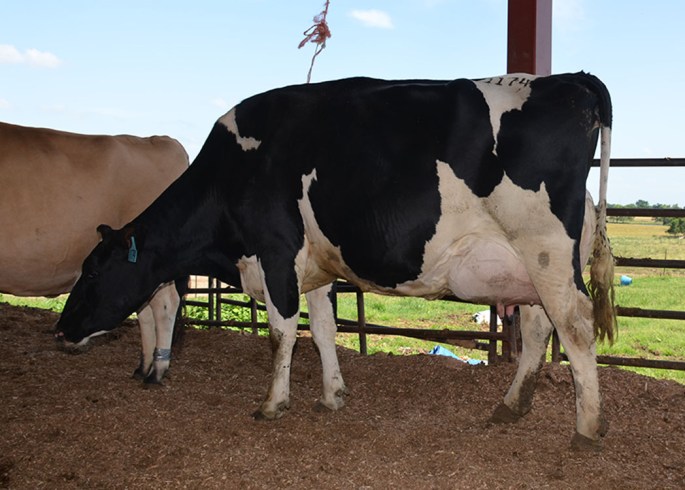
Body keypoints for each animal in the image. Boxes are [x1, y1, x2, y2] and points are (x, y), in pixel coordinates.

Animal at [55, 72, 616, 448]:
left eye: (94, 270)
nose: (60, 330)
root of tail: (571, 80)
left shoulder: (276, 253)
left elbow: (282, 334)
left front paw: (273, 404)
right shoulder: (317, 268)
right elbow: (323, 329)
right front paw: (332, 396)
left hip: (544, 248)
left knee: (575, 325)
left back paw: (587, 428)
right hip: (530, 264)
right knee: (541, 328)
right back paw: (511, 407)